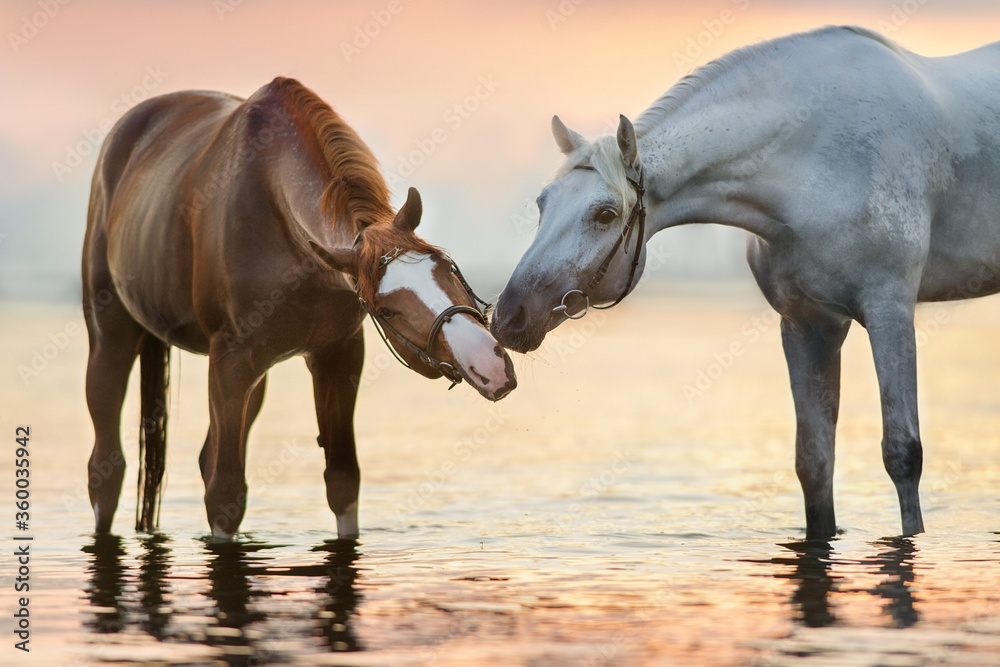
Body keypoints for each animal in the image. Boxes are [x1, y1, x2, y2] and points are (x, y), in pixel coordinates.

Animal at [83, 77, 516, 541]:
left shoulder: (337, 354)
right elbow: (225, 492)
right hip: (112, 338)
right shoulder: (229, 361)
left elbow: (342, 481)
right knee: (106, 468)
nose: (488, 363)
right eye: (386, 310)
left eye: (448, 268)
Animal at [490, 26, 1000, 540]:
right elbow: (814, 464)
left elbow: (902, 454)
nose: (509, 315)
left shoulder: (889, 312)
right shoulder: (808, 324)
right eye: (542, 202)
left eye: (605, 214)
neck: (818, 162)